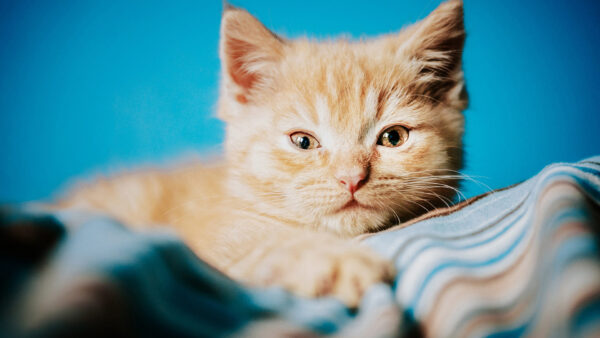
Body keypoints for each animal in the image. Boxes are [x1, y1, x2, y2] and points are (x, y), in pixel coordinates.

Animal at [58, 0, 468, 306]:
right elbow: (265, 249)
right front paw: (331, 260)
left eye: (393, 137)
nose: (351, 178)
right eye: (303, 142)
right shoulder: (210, 250)